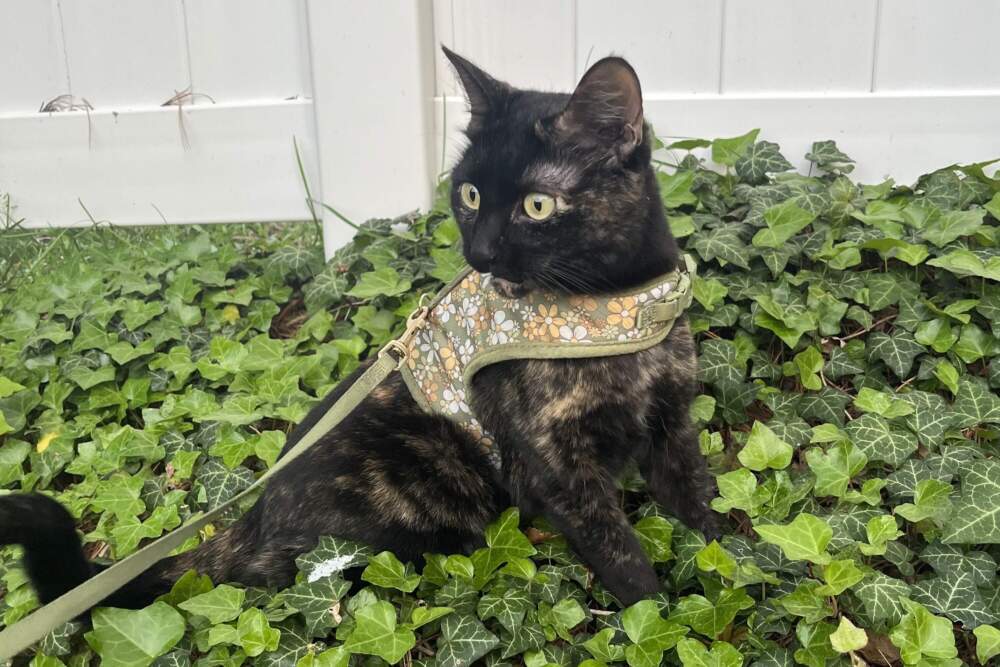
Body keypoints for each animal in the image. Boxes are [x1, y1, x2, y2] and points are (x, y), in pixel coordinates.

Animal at [0, 47, 717, 617]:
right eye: (469, 194)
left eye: (537, 206)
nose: (480, 252)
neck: (616, 310)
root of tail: (252, 519)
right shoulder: (560, 468)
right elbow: (617, 552)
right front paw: (658, 616)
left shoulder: (672, 423)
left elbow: (698, 502)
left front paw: (726, 559)